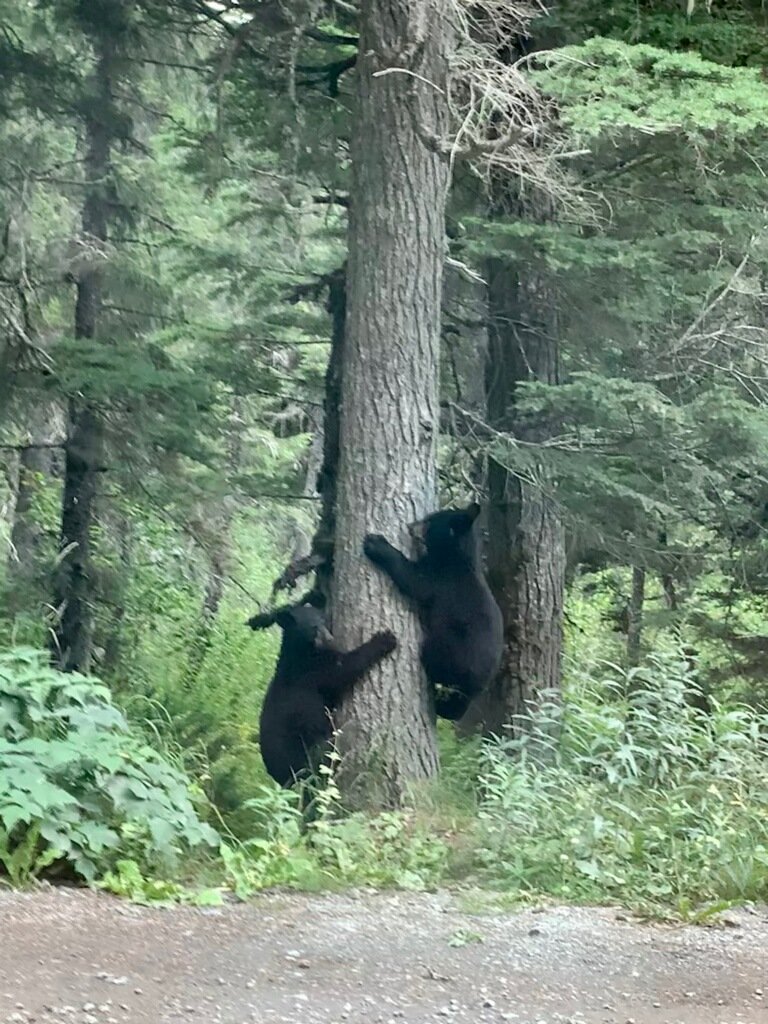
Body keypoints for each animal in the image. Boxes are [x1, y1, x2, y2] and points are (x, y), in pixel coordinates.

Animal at [247, 594, 397, 786]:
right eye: (313, 627)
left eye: (324, 620)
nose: (330, 639)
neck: (302, 652)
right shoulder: (313, 673)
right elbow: (344, 669)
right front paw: (385, 639)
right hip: (303, 754)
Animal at [363, 502, 503, 721]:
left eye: (429, 522)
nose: (410, 526)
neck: (456, 557)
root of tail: (476, 683)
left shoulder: (440, 579)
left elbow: (413, 580)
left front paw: (376, 544)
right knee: (456, 707)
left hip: (452, 650)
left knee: (434, 659)